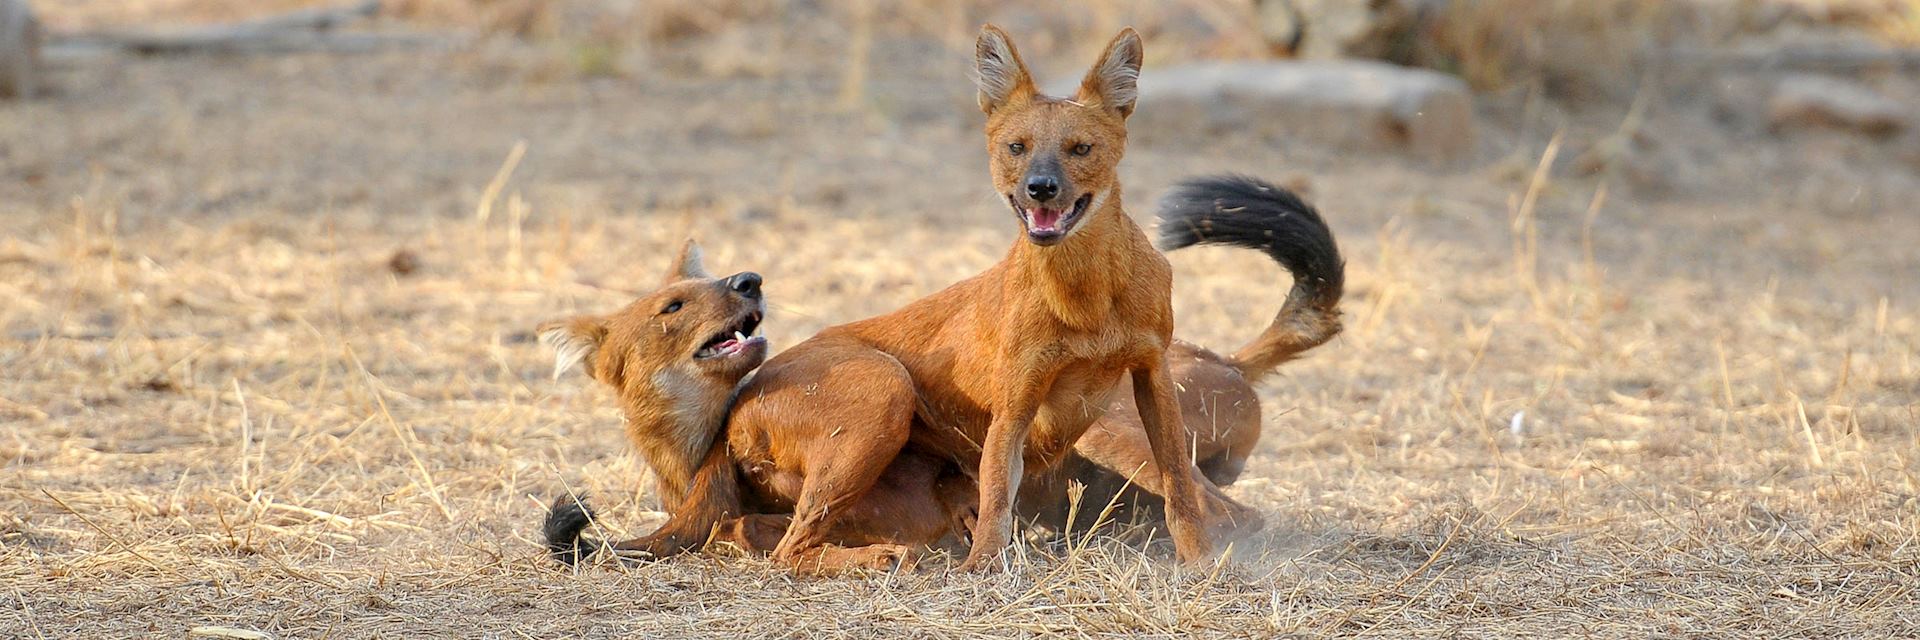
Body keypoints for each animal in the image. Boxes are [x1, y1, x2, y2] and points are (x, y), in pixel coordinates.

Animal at [545, 24, 1351, 568]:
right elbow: (995, 486)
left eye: (1080, 149)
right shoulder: (1016, 398)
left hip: (1082, 418)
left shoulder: (1148, 376)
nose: (1041, 188)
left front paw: (1196, 565)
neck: (1085, 292)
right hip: (888, 388)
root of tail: (1229, 358)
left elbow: (1181, 490)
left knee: (1232, 508)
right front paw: (987, 568)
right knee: (787, 548)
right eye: (1016, 147)